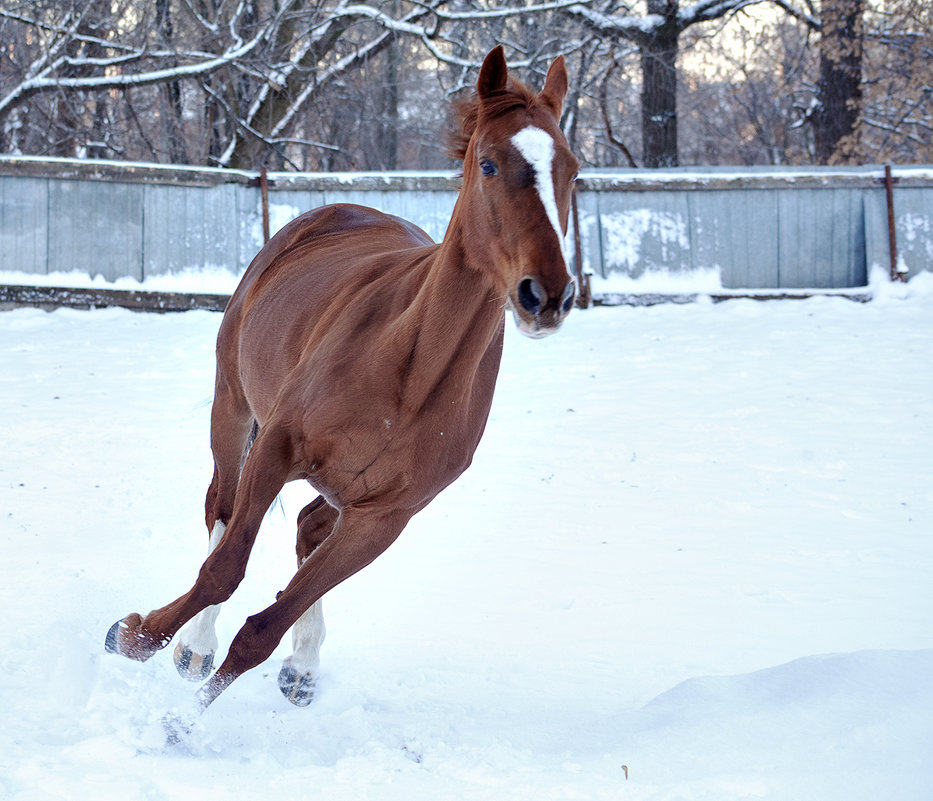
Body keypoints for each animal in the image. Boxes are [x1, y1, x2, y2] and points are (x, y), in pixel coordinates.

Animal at [105, 48, 580, 712]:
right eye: (488, 164)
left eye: (573, 171)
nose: (548, 295)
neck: (409, 373)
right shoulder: (276, 448)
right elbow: (223, 570)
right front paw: (137, 637)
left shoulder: (382, 520)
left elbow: (264, 629)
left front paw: (188, 719)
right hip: (233, 409)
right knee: (220, 509)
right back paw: (193, 645)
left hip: (337, 491)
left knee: (306, 529)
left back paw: (301, 665)